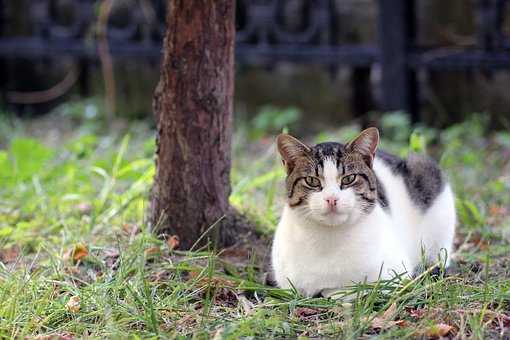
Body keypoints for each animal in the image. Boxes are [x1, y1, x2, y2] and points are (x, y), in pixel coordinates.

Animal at [272, 127, 456, 298]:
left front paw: (333, 291)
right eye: (312, 180)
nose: (332, 199)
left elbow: (354, 288)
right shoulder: (287, 282)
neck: (329, 239)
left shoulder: (394, 274)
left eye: (348, 178)